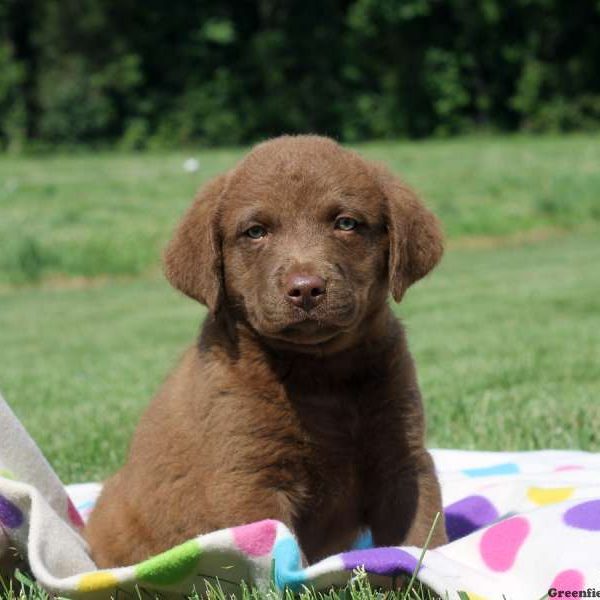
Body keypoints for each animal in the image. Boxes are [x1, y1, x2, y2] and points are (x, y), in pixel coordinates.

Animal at [86, 135, 448, 568]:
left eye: (345, 222)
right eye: (256, 231)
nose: (306, 288)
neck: (320, 375)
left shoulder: (402, 459)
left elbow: (421, 532)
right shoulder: (250, 479)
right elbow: (280, 557)